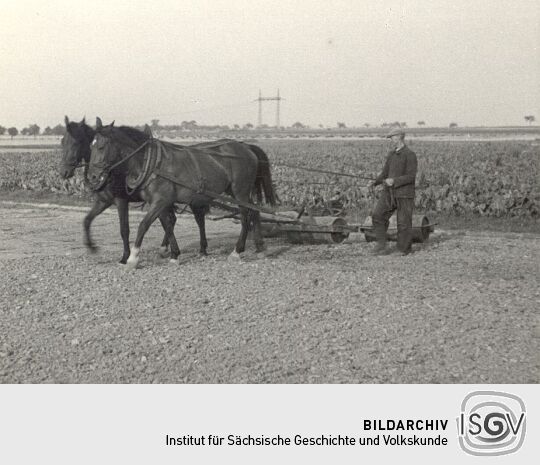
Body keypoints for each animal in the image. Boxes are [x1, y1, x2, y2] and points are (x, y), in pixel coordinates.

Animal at [88, 118, 276, 268]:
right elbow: (167, 225)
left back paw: (237, 251)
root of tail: (246, 147)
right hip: (238, 191)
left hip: (240, 190)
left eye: (102, 146)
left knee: (245, 215)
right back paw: (260, 248)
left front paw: (132, 258)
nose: (93, 176)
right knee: (254, 211)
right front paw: (174, 254)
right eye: (91, 145)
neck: (151, 162)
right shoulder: (160, 202)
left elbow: (144, 225)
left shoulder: (160, 201)